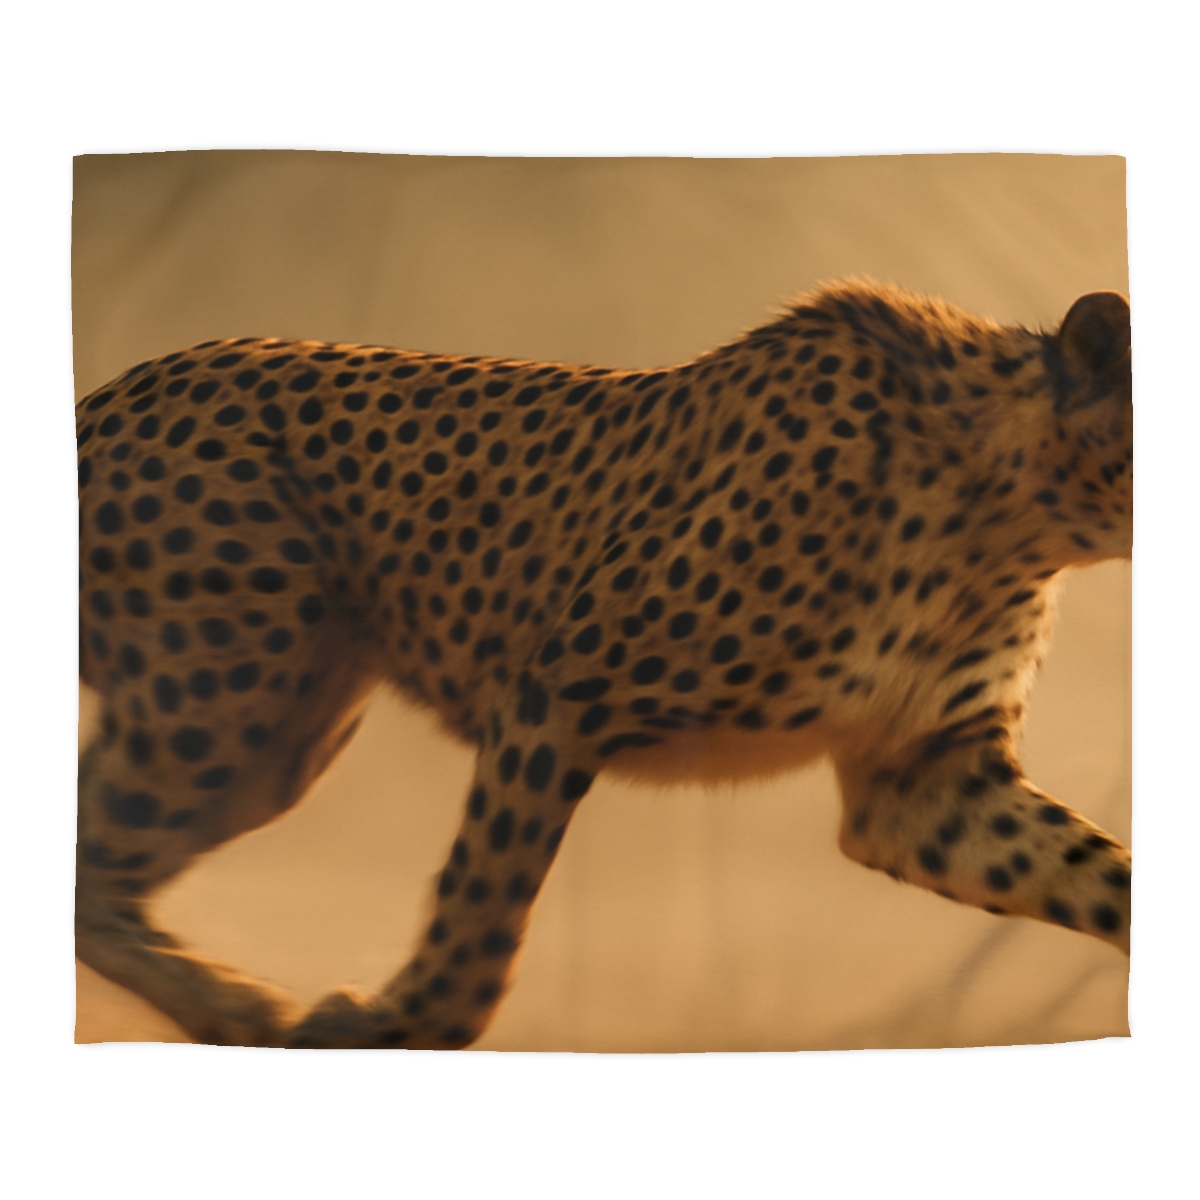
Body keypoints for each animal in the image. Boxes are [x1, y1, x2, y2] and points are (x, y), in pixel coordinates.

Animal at [75, 279, 1132, 1048]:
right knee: (90, 866)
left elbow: (1106, 876)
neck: (1011, 502)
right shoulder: (552, 700)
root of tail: (117, 389)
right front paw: (380, 1030)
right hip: (221, 705)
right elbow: (478, 926)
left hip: (276, 730)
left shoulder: (923, 787)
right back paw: (244, 1009)